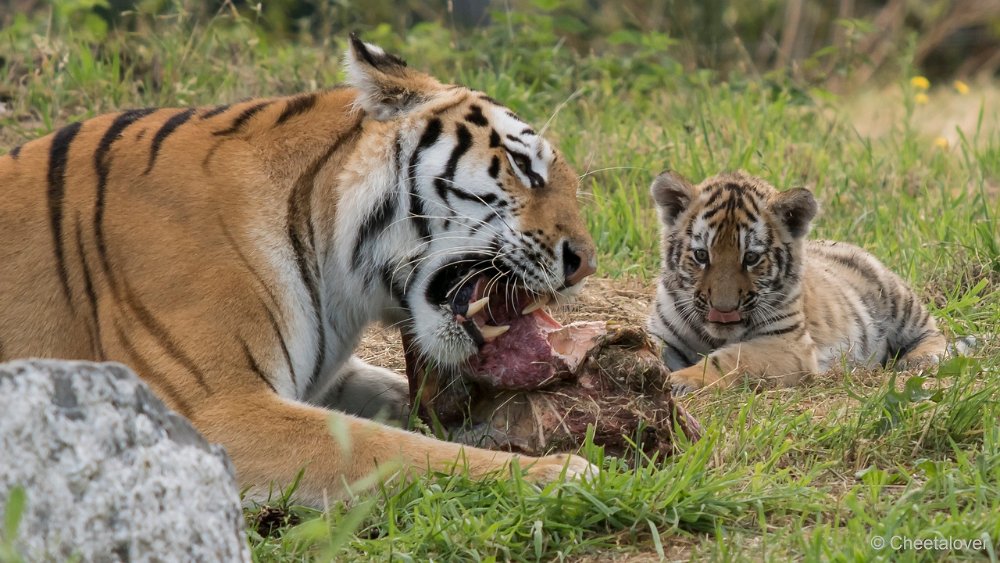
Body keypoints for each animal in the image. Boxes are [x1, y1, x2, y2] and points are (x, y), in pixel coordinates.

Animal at [0, 36, 592, 506]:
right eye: (524, 168)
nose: (585, 262)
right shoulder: (214, 409)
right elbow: (394, 449)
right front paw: (560, 473)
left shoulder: (326, 375)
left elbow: (392, 403)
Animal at [648, 170, 944, 394]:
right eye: (701, 255)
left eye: (751, 257)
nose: (723, 310)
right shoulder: (663, 335)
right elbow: (651, 350)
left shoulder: (787, 344)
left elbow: (730, 358)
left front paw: (684, 379)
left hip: (898, 298)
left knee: (932, 331)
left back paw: (919, 359)